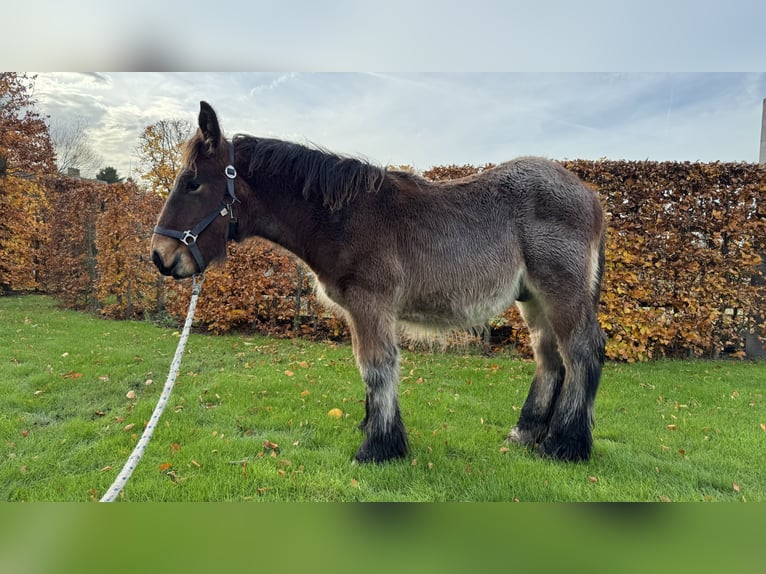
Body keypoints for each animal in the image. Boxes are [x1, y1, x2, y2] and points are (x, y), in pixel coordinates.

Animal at [148, 101, 608, 466]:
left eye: (192, 183)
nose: (160, 256)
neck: (343, 217)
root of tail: (590, 194)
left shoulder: (371, 304)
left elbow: (376, 367)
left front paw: (378, 447)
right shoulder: (359, 311)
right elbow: (371, 370)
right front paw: (373, 428)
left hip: (560, 293)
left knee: (581, 352)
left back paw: (565, 445)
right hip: (532, 299)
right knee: (550, 360)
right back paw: (527, 434)